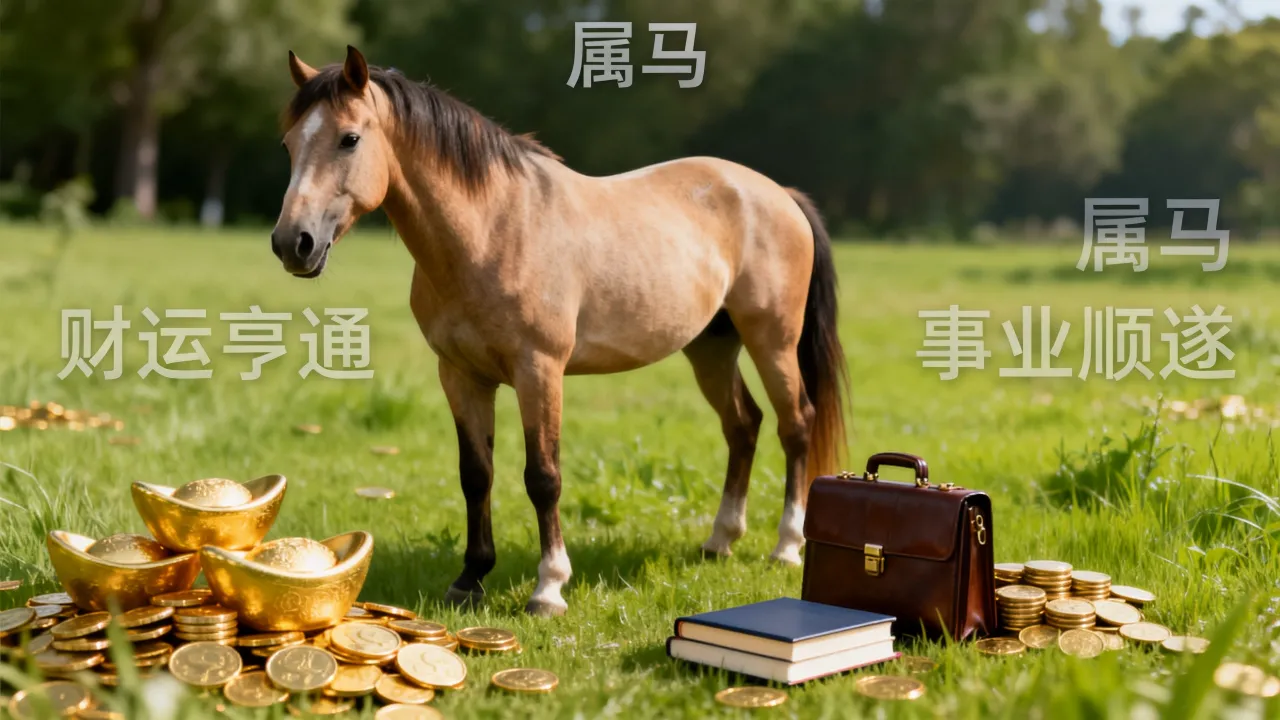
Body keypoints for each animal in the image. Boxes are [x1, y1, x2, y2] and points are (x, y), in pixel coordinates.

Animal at [272, 46, 849, 616]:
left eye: (349, 138)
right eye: (289, 144)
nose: (292, 243)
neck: (492, 229)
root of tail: (778, 194)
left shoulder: (540, 370)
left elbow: (543, 477)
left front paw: (548, 587)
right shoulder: (460, 375)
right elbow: (475, 474)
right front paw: (470, 579)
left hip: (772, 339)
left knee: (795, 424)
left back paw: (786, 546)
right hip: (711, 347)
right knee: (743, 425)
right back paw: (720, 540)